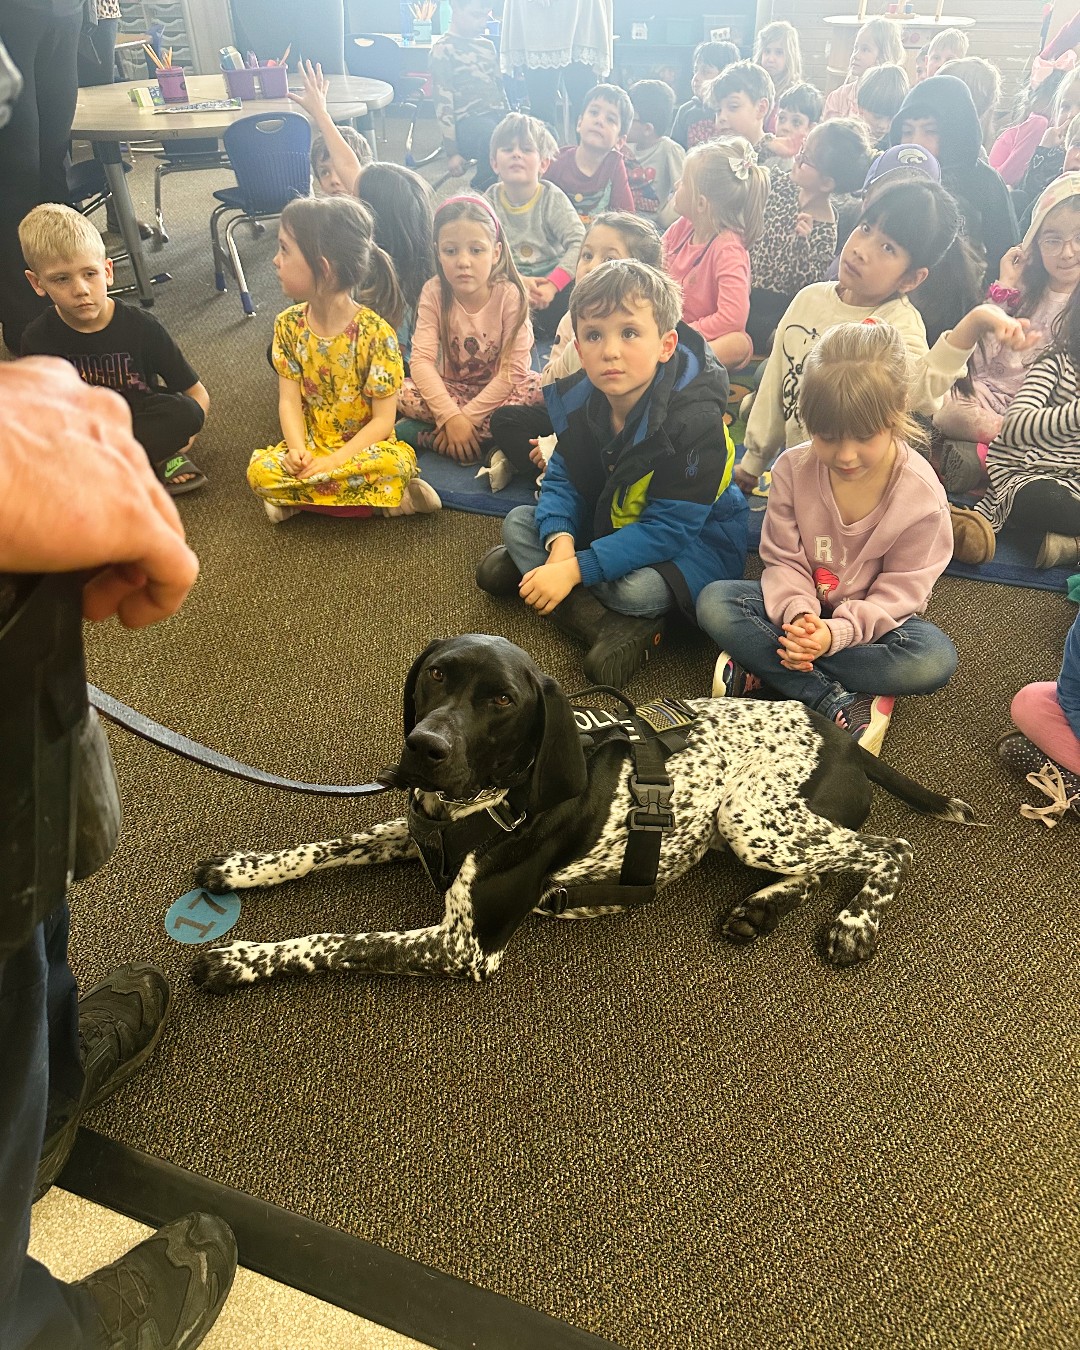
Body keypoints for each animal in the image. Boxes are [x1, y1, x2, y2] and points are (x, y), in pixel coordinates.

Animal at [190, 631, 972, 993]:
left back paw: (854, 924)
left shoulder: (462, 946)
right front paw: (245, 869)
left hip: (752, 819)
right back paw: (758, 909)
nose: (423, 747)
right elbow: (328, 845)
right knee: (822, 863)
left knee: (886, 848)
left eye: (502, 700)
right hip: (750, 828)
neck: (491, 801)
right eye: (436, 674)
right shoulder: (414, 827)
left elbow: (341, 943)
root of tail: (840, 736)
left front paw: (240, 960)